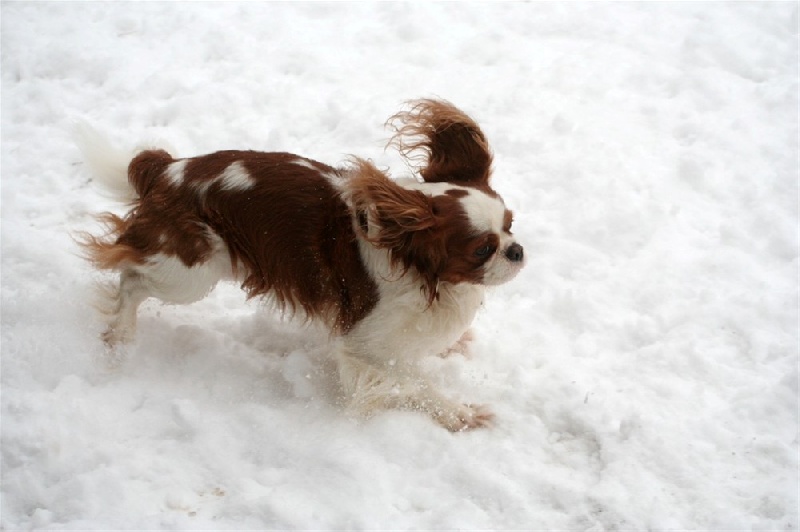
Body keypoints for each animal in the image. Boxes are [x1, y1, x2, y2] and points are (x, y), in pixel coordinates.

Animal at [78, 101, 520, 432]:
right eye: (483, 249)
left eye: (511, 225)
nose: (516, 251)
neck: (414, 263)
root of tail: (166, 170)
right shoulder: (363, 347)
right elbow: (412, 381)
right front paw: (459, 414)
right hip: (189, 274)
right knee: (131, 281)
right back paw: (119, 335)